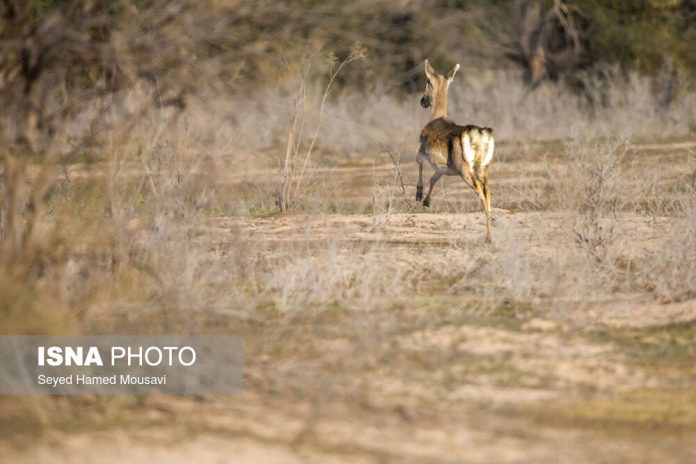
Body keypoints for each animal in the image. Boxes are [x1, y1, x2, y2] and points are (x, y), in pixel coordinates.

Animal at [416, 59, 495, 242]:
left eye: (426, 81)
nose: (423, 101)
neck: (436, 117)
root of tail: (480, 134)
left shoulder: (422, 150)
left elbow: (420, 166)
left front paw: (419, 195)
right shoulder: (444, 168)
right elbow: (433, 178)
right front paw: (426, 201)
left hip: (466, 170)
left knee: (481, 194)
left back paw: (488, 237)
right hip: (484, 169)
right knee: (488, 193)